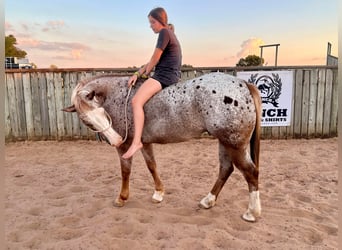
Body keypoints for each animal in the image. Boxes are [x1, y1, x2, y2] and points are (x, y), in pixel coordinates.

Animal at [63, 71, 262, 222]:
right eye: (87, 121)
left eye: (102, 112)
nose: (116, 140)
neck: (118, 95)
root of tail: (243, 83)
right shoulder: (144, 143)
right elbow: (152, 166)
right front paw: (159, 193)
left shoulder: (126, 146)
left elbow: (125, 171)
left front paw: (122, 198)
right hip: (225, 143)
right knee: (226, 169)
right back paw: (208, 201)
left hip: (234, 144)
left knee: (250, 172)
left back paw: (252, 213)